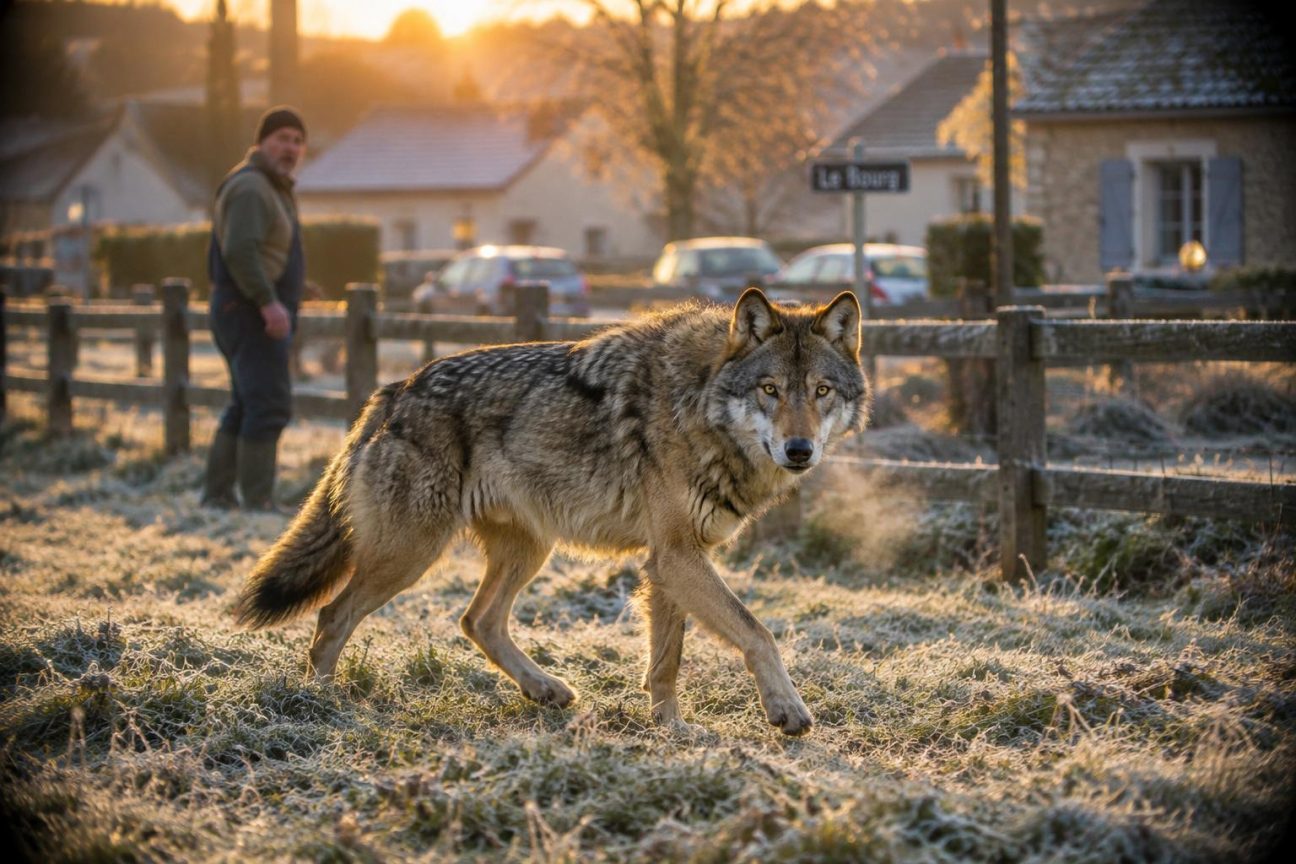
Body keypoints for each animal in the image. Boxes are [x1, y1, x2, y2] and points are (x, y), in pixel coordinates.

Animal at [234, 287, 869, 735]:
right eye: (769, 389)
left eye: (820, 391)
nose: (799, 450)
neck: (698, 402)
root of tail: (393, 389)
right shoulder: (677, 558)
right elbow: (758, 631)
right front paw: (787, 710)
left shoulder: (670, 562)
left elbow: (666, 661)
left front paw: (672, 729)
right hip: (410, 555)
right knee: (332, 616)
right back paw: (318, 704)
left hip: (527, 550)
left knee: (477, 621)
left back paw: (546, 690)